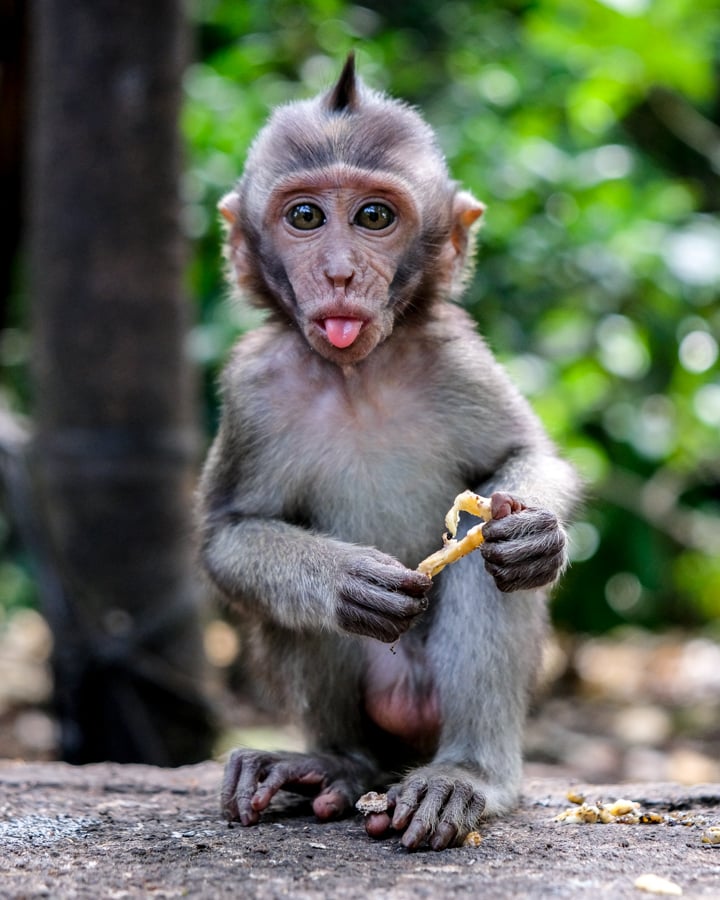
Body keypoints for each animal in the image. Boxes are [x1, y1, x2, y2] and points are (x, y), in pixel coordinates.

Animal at [198, 58, 580, 852]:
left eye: (375, 217)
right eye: (305, 217)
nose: (342, 273)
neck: (357, 376)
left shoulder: (457, 355)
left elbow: (525, 454)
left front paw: (535, 533)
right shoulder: (249, 385)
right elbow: (229, 533)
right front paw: (346, 578)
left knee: (489, 579)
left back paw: (465, 776)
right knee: (296, 622)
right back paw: (335, 765)